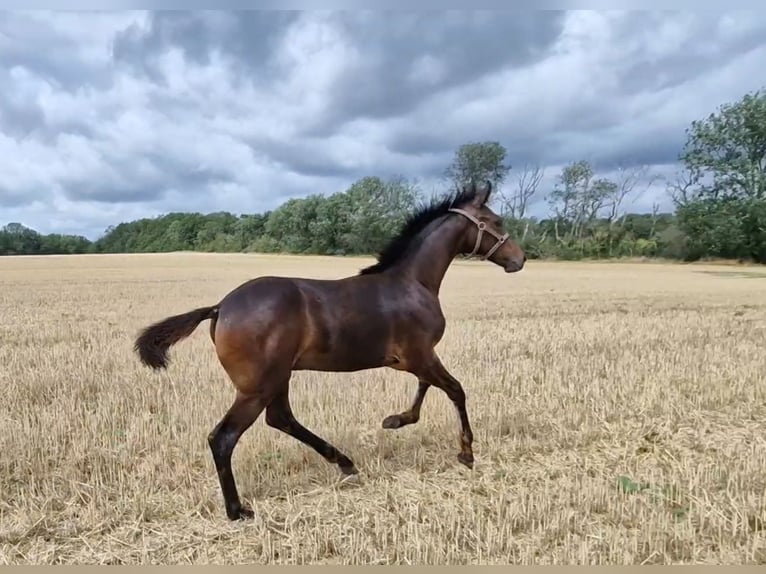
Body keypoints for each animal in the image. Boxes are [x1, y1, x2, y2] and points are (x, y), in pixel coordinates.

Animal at [134, 180, 528, 520]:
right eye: (496, 221)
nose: (519, 259)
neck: (412, 283)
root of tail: (220, 307)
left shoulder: (415, 358)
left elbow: (428, 387)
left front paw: (396, 420)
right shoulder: (419, 355)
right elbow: (455, 390)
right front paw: (466, 452)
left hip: (277, 377)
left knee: (281, 418)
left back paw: (344, 462)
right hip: (256, 387)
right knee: (224, 437)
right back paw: (237, 510)